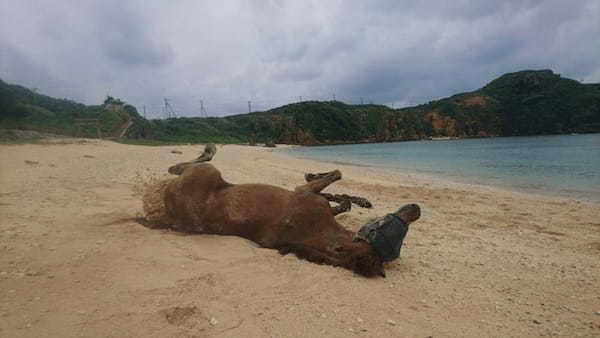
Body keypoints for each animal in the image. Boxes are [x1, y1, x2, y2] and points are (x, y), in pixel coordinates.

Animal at [143, 144, 420, 276]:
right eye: (390, 223)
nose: (417, 208)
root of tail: (169, 215)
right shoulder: (306, 194)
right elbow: (337, 184)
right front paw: (332, 189)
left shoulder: (305, 196)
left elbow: (336, 180)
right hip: (207, 173)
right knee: (178, 166)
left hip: (205, 173)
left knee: (178, 167)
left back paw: (208, 149)